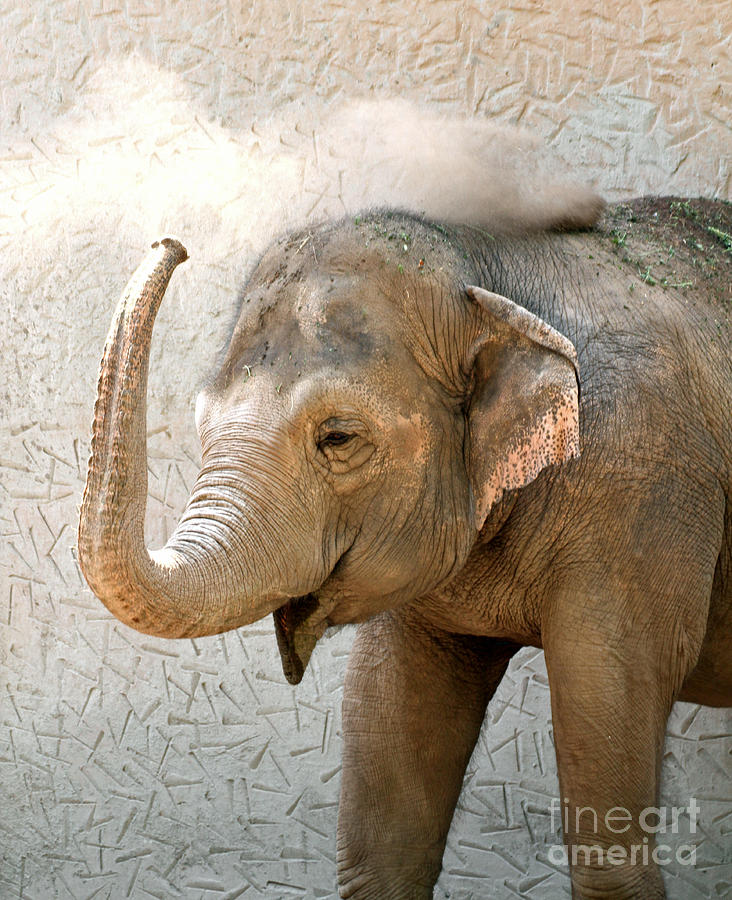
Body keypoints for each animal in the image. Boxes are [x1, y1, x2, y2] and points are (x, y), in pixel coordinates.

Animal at [80, 199, 732, 900]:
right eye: (201, 424)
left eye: (338, 437)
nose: (171, 243)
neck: (491, 274)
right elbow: (384, 817)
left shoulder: (645, 494)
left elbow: (607, 829)